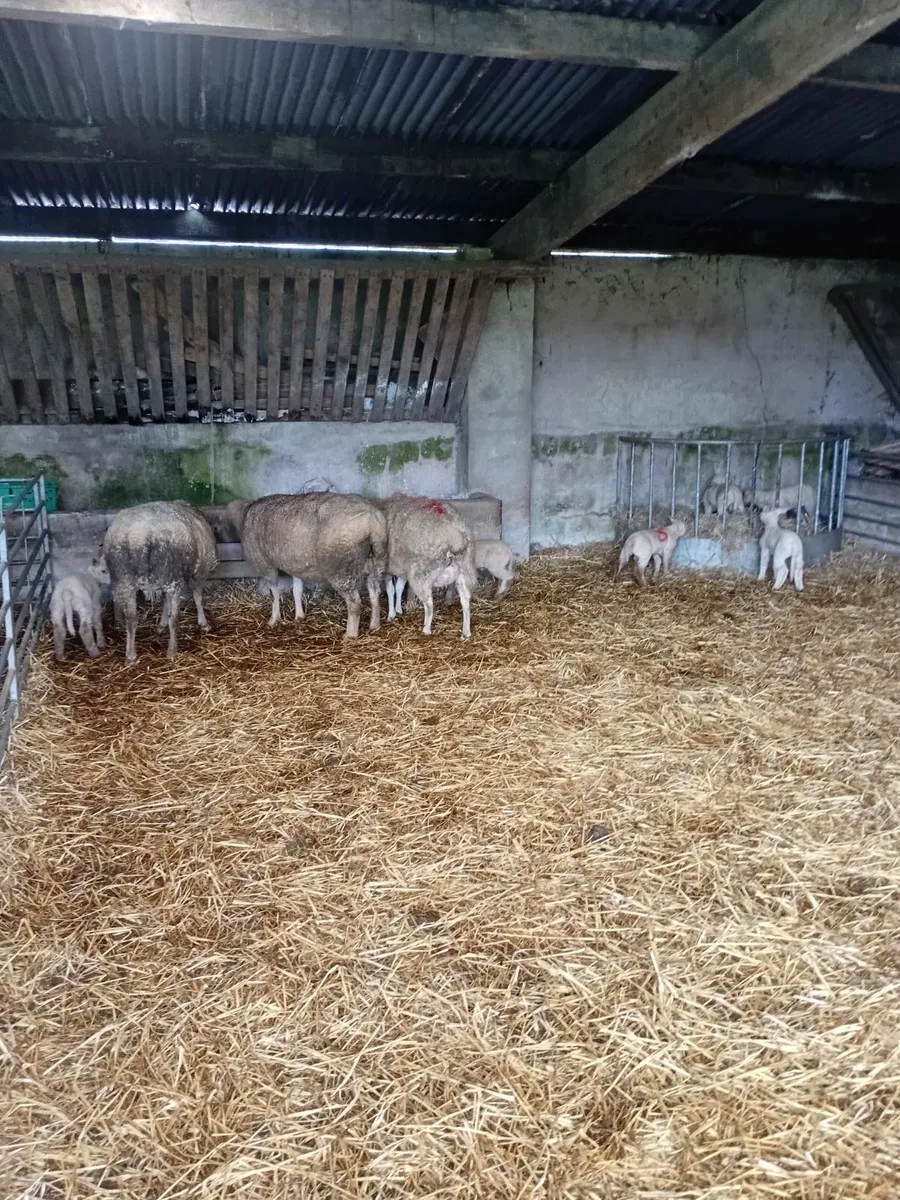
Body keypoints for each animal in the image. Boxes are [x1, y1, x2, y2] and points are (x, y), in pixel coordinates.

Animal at [104, 501, 218, 664]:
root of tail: (140, 536)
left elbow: (165, 601)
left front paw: (160, 625)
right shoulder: (199, 573)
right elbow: (197, 598)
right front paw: (204, 623)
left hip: (124, 579)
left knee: (131, 618)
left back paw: (131, 655)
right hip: (173, 575)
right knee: (174, 619)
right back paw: (172, 650)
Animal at [239, 492, 387, 638]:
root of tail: (371, 521)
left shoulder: (265, 564)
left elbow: (274, 593)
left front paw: (274, 619)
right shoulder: (296, 565)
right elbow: (297, 590)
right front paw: (299, 616)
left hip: (341, 570)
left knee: (354, 603)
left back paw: (350, 635)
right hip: (376, 561)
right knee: (375, 593)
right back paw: (375, 625)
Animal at [382, 496, 477, 638]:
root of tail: (455, 536)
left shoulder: (387, 568)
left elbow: (391, 590)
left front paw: (391, 614)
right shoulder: (402, 567)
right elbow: (399, 587)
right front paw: (398, 610)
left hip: (421, 573)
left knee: (429, 604)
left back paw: (426, 629)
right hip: (465, 569)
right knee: (465, 599)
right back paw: (466, 631)